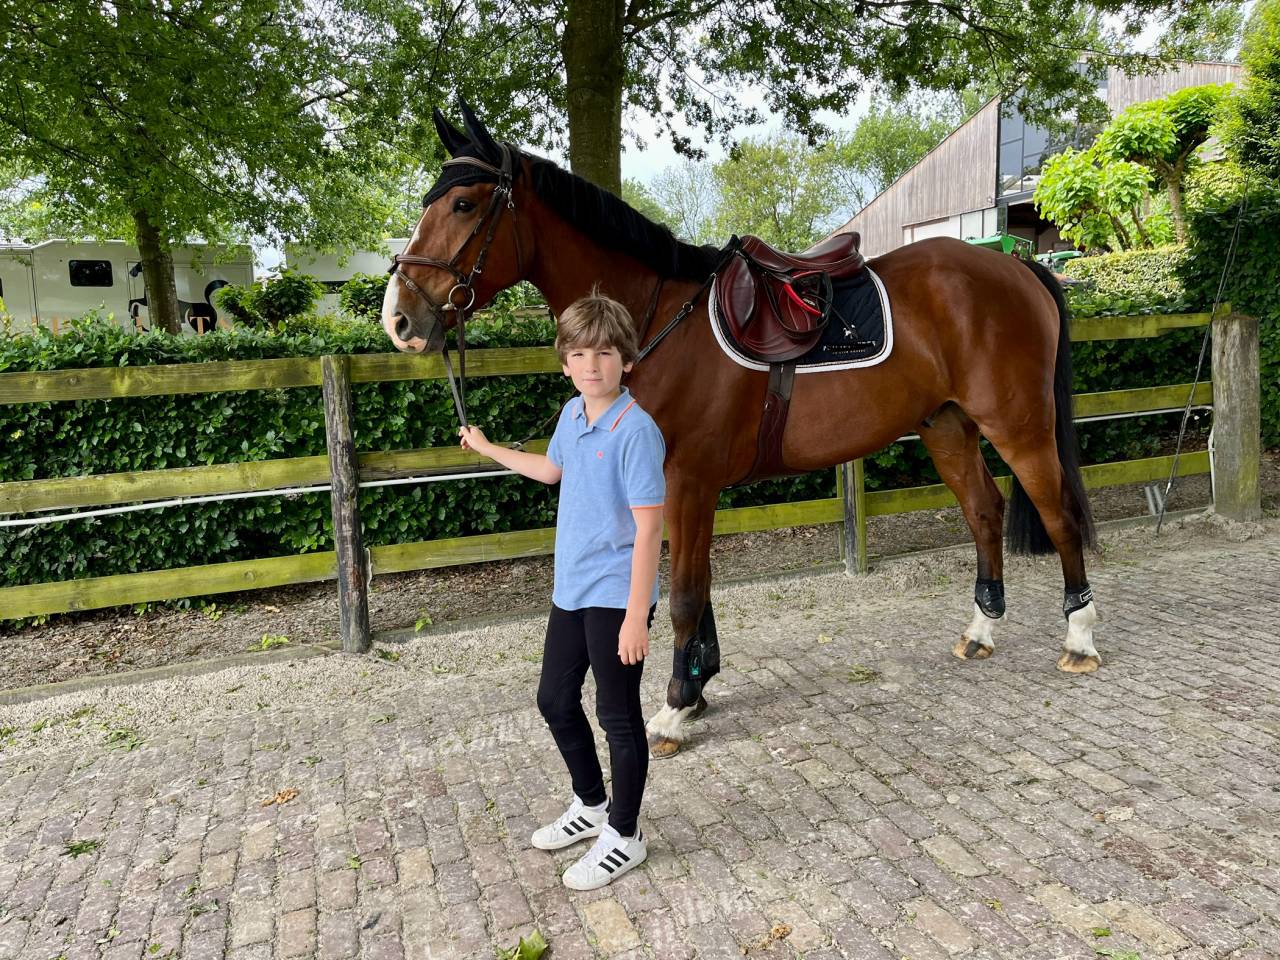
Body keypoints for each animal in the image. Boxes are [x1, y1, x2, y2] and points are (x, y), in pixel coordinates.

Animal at [381, 103, 1099, 759]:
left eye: (465, 204)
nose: (399, 319)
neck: (655, 320)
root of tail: (1015, 268)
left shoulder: (688, 481)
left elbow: (683, 595)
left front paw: (673, 710)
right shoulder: (673, 487)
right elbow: (694, 590)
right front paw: (698, 686)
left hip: (1018, 425)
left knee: (1058, 513)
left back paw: (1079, 638)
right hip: (947, 426)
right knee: (984, 510)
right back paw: (981, 630)